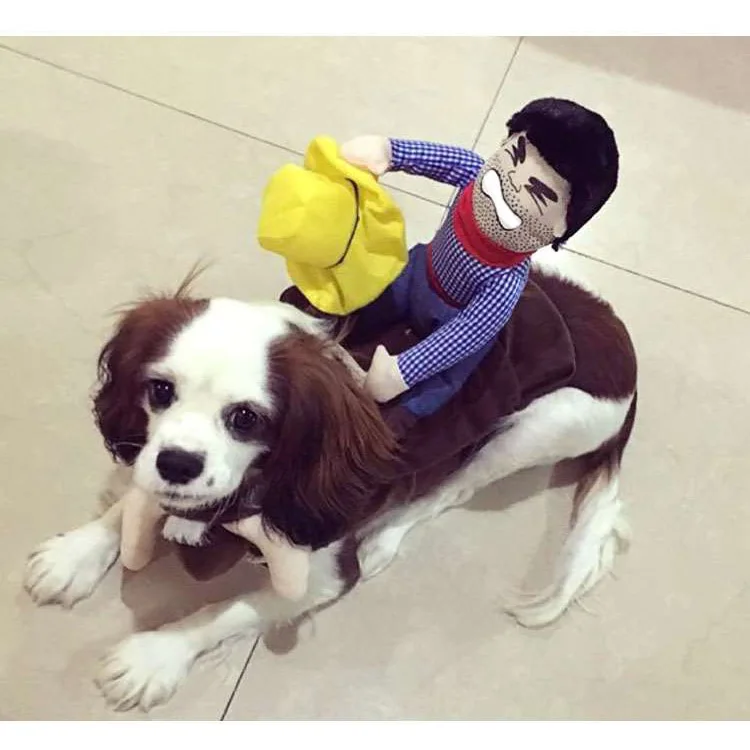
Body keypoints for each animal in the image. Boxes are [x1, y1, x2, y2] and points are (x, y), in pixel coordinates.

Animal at [23, 267, 637, 711]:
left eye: (245, 418)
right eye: (159, 390)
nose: (178, 463)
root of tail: (613, 325)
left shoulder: (320, 570)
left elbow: (230, 609)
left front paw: (155, 654)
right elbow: (136, 496)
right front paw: (77, 552)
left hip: (543, 427)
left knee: (450, 491)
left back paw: (386, 537)